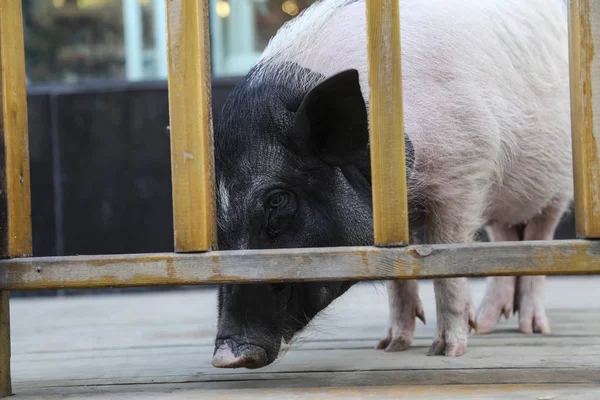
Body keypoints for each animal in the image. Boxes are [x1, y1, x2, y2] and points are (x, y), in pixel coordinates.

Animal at [211, 0, 572, 368]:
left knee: (539, 240)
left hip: (558, 187)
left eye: (277, 200)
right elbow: (398, 273)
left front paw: (446, 351)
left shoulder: (466, 168)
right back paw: (485, 326)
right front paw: (391, 346)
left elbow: (447, 260)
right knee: (505, 239)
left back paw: (532, 329)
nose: (226, 356)